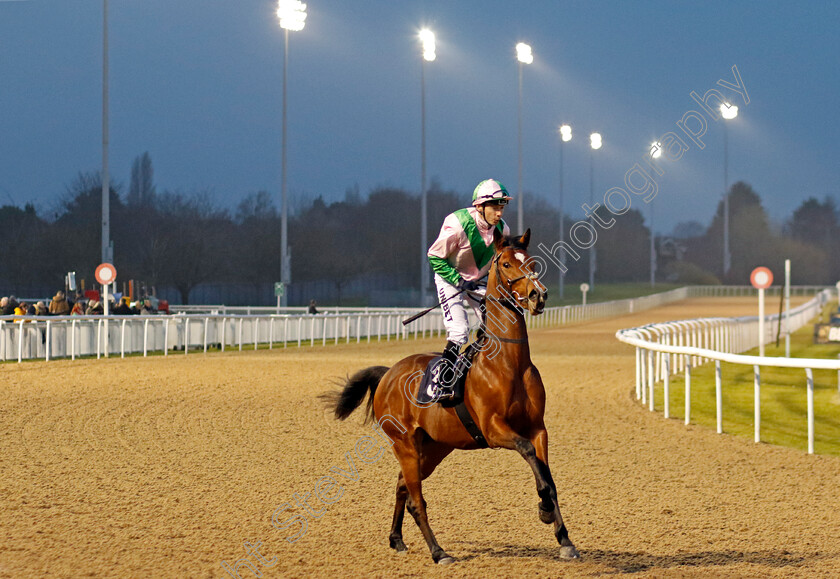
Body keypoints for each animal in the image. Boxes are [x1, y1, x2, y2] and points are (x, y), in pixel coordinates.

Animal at [326, 229, 576, 564]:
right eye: (507, 264)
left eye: (533, 263)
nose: (539, 295)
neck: (508, 363)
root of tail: (389, 374)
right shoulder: (493, 429)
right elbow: (527, 452)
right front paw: (545, 511)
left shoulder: (538, 428)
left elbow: (548, 476)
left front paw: (563, 537)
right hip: (404, 443)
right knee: (416, 500)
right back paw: (438, 551)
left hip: (433, 448)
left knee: (402, 486)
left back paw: (396, 539)